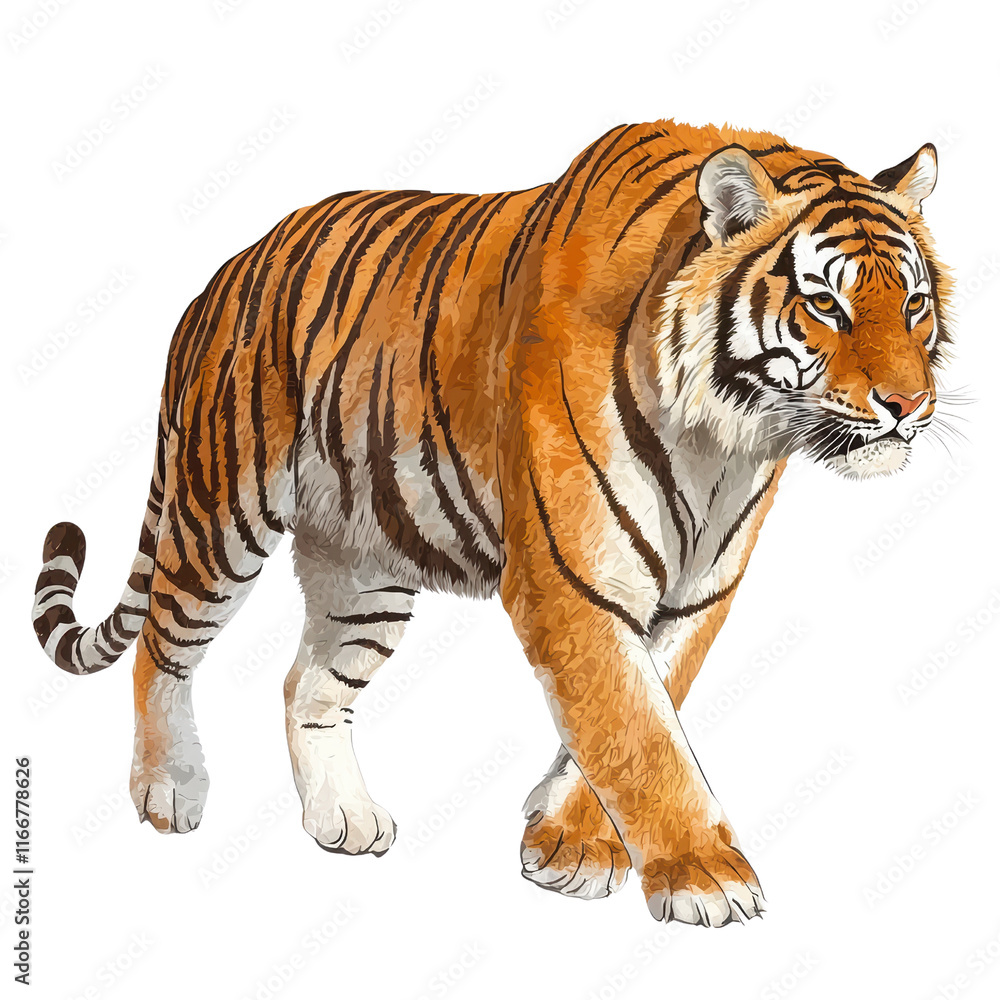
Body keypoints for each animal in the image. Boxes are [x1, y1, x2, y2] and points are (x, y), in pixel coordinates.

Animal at [32, 118, 950, 927]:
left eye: (913, 305)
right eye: (825, 306)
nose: (908, 405)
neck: (724, 437)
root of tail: (219, 278)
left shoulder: (698, 594)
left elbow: (642, 710)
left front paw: (569, 843)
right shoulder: (570, 580)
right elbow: (637, 733)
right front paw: (707, 879)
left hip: (366, 569)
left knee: (308, 684)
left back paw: (343, 818)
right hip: (221, 514)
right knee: (161, 647)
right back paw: (167, 788)